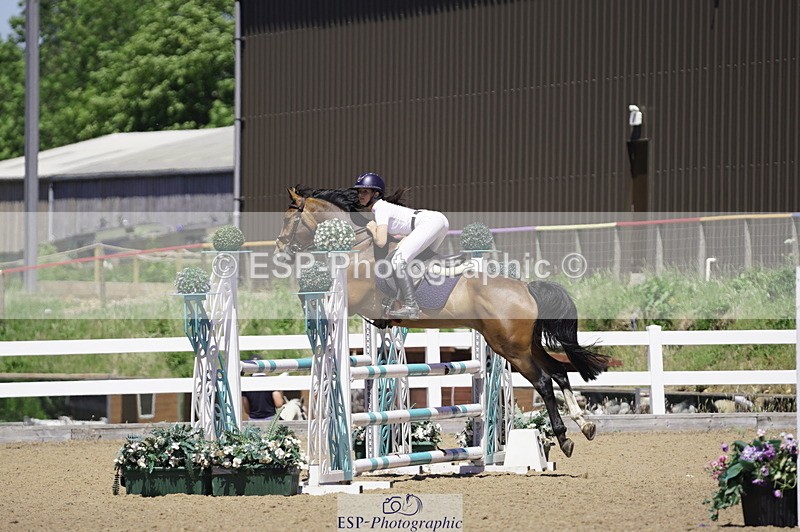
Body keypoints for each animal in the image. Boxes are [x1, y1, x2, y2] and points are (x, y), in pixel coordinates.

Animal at [275, 186, 613, 458]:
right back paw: (584, 426)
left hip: (511, 349)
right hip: (523, 344)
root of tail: (526, 288)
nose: (279, 249)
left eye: (289, 219)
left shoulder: (354, 298)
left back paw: (565, 439)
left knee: (543, 381)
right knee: (559, 372)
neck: (354, 247)